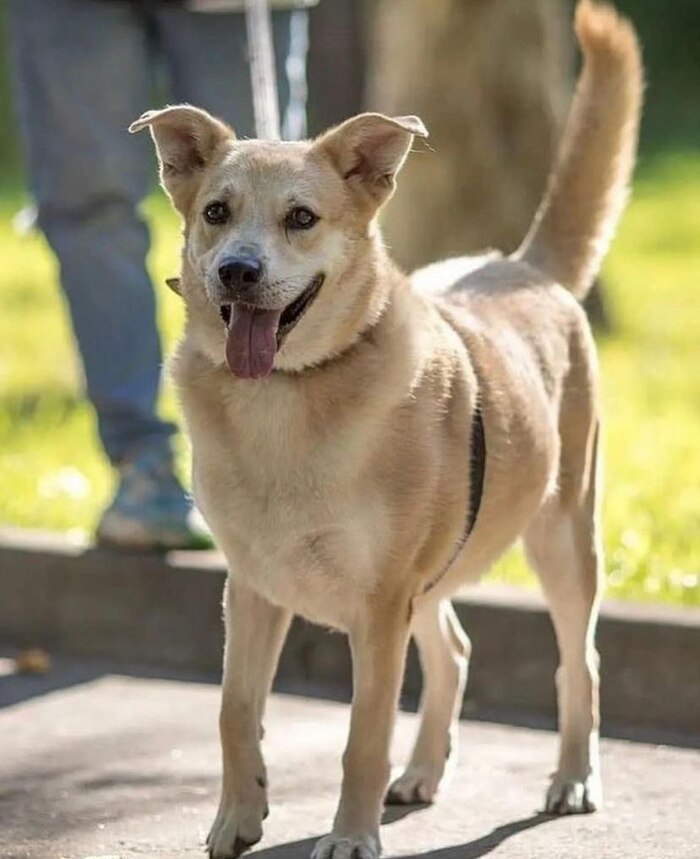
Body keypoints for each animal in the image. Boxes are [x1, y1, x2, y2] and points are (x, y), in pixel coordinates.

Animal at [130, 3, 642, 857]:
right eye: (216, 212)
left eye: (302, 218)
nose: (236, 270)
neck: (287, 397)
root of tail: (522, 265)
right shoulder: (252, 587)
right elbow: (236, 710)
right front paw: (238, 817)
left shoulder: (379, 606)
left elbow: (362, 734)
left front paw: (349, 835)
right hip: (438, 565)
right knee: (456, 653)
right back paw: (424, 770)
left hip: (564, 536)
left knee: (582, 661)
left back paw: (572, 776)